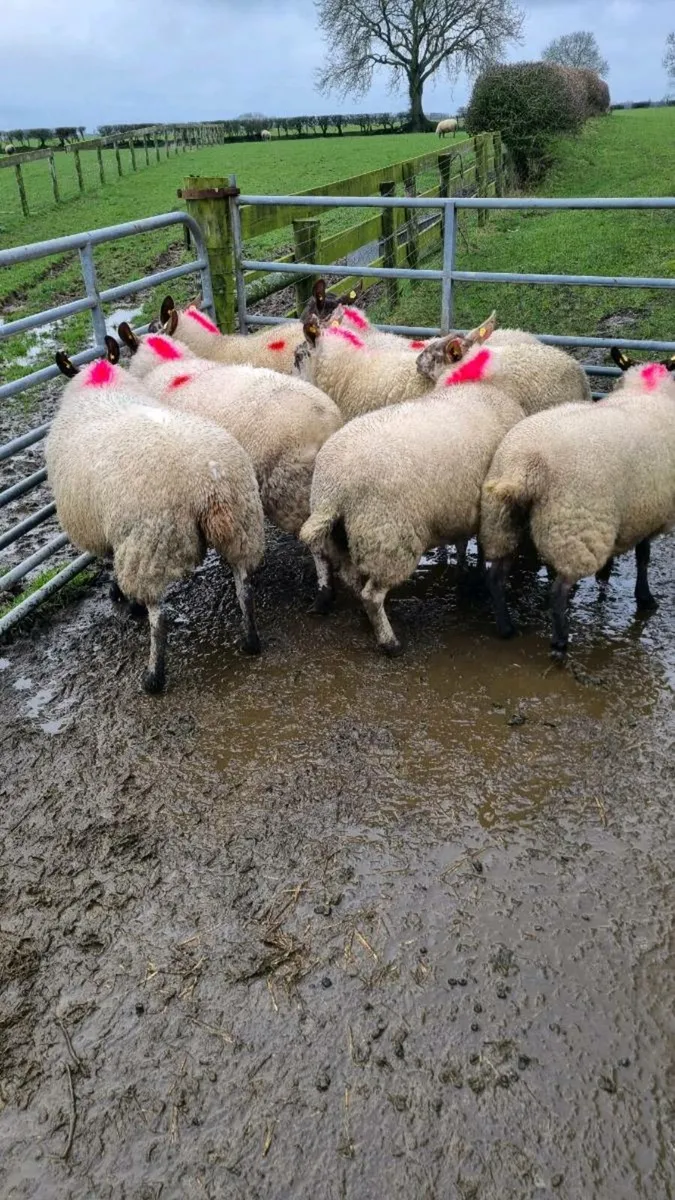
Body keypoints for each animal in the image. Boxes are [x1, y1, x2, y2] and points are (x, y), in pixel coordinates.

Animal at [47, 351, 265, 693]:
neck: (100, 390)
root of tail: (209, 485)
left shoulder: (111, 532)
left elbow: (109, 561)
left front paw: (119, 594)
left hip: (150, 545)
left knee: (159, 618)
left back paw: (153, 677)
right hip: (242, 524)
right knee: (245, 587)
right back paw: (250, 642)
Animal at [300, 381, 526, 654]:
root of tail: (333, 490)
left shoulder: (461, 508)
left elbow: (464, 543)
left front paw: (468, 570)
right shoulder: (493, 511)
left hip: (345, 536)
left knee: (352, 578)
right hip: (389, 538)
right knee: (372, 595)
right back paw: (390, 642)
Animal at [479, 355, 675, 659]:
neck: (645, 394)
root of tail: (525, 465)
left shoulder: (627, 512)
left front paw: (606, 574)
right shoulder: (649, 512)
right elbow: (643, 557)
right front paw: (645, 598)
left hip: (503, 522)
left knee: (496, 577)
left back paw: (507, 628)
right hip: (575, 524)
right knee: (558, 591)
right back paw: (560, 643)